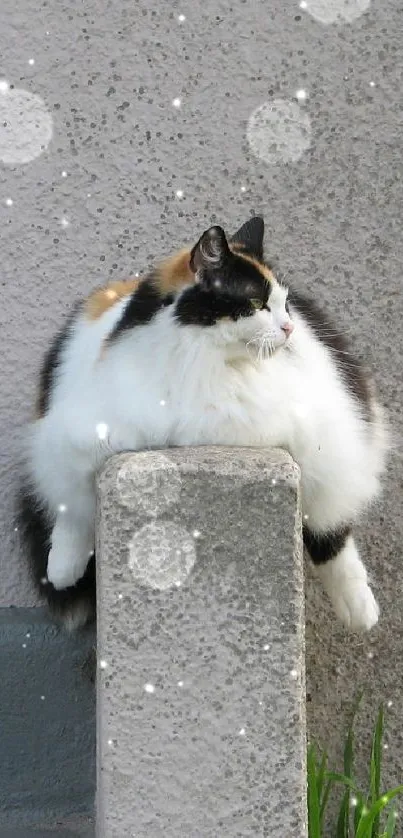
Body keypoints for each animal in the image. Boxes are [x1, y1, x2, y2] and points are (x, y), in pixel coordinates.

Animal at [17, 220, 390, 632]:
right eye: (257, 304)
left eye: (284, 304)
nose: (289, 327)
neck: (202, 362)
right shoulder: (82, 432)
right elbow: (74, 503)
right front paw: (61, 569)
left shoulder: (309, 439)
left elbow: (331, 533)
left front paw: (358, 606)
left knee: (332, 528)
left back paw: (360, 610)